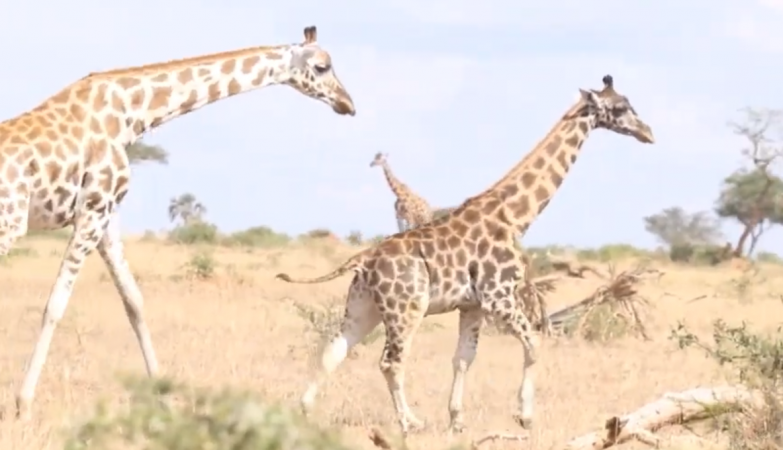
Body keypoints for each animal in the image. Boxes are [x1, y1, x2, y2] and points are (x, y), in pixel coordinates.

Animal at [0, 25, 356, 418]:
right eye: (323, 66)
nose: (348, 104)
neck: (132, 114)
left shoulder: (105, 217)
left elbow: (134, 302)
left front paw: (163, 394)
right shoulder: (93, 209)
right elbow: (55, 306)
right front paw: (23, 404)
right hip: (10, 222)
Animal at [276, 74, 656, 436]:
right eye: (620, 107)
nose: (648, 133)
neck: (515, 216)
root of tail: (363, 261)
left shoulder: (472, 305)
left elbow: (463, 358)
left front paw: (457, 420)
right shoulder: (498, 297)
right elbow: (534, 343)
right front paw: (525, 416)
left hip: (363, 306)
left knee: (333, 350)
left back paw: (305, 411)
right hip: (406, 307)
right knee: (390, 361)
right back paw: (410, 422)